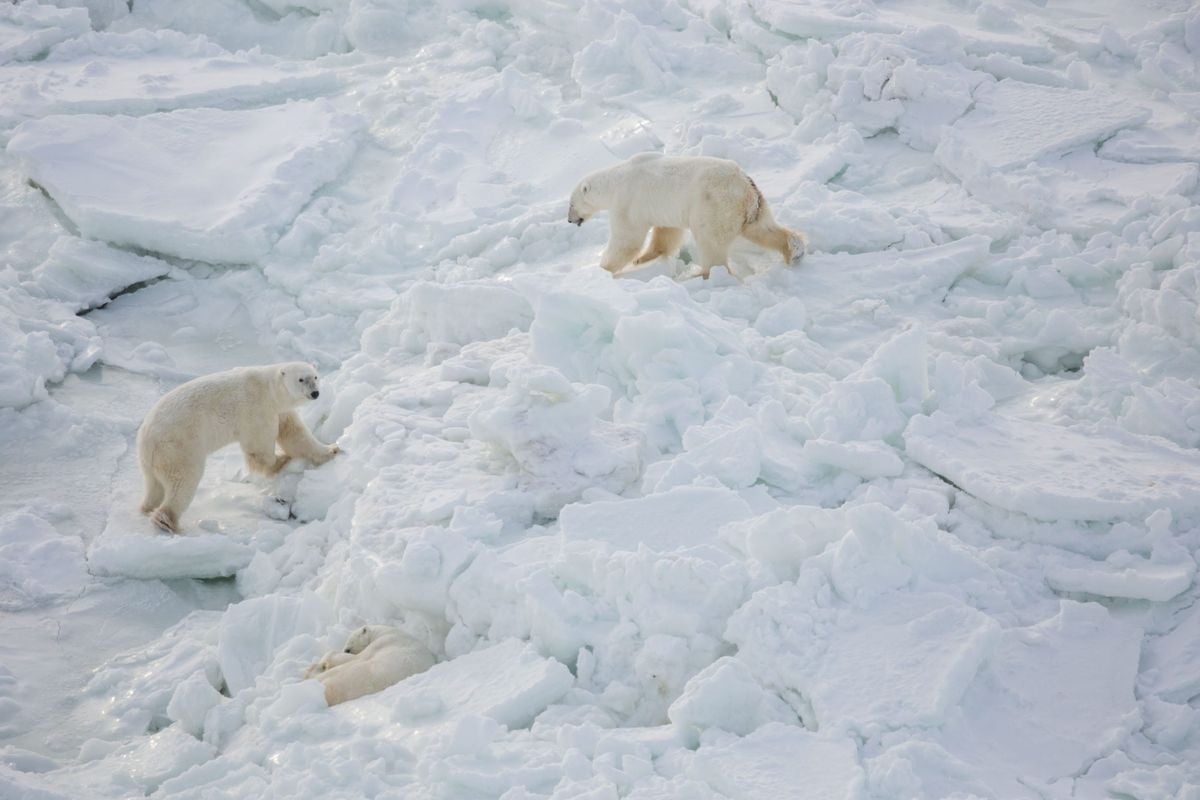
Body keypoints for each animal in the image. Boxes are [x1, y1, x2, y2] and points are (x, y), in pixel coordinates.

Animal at [136, 362, 339, 533]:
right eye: (301, 379)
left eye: (315, 377)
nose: (315, 393)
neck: (270, 390)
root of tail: (147, 439)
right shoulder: (257, 410)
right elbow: (259, 447)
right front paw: (282, 460)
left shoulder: (280, 411)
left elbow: (296, 435)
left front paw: (332, 450)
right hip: (179, 446)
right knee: (183, 480)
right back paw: (167, 521)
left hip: (154, 459)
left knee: (155, 484)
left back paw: (148, 507)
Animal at [304, 625, 436, 706]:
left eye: (350, 641)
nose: (346, 649)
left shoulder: (385, 641)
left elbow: (359, 656)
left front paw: (322, 663)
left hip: (350, 675)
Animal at [567, 153, 807, 279]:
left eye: (571, 204)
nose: (570, 219)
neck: (616, 181)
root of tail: (745, 187)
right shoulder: (661, 206)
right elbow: (666, 232)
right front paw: (643, 258)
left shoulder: (628, 202)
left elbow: (626, 239)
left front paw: (603, 269)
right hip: (754, 206)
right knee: (763, 229)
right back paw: (794, 251)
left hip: (713, 205)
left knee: (711, 242)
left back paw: (700, 274)